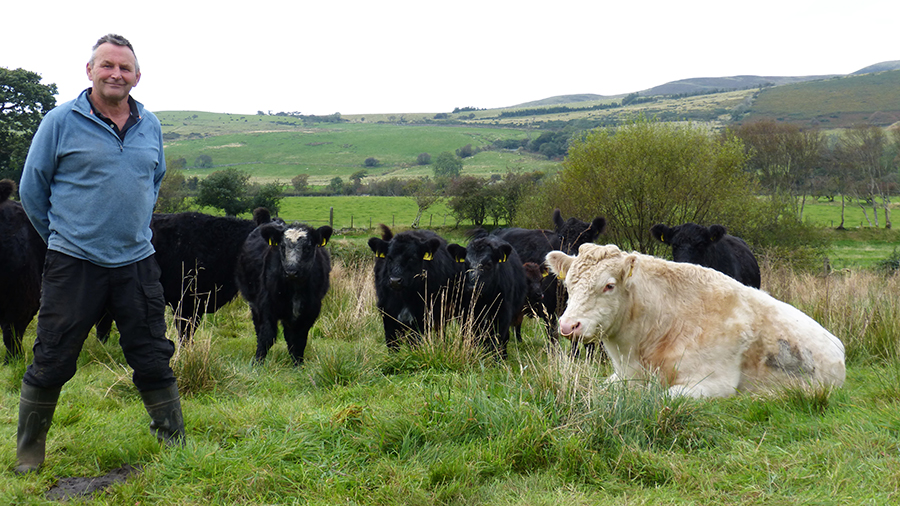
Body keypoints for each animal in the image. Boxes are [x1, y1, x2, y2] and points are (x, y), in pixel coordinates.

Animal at [236, 221, 330, 364]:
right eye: (282, 246)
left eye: (308, 248)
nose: (291, 271)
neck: (296, 288)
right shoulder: (266, 304)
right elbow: (267, 336)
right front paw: (258, 362)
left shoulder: (311, 310)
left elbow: (298, 340)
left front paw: (298, 363)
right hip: (254, 304)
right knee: (259, 328)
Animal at [544, 243, 848, 398]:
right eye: (568, 285)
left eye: (609, 285)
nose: (569, 326)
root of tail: (836, 342)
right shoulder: (621, 376)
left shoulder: (714, 383)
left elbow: (665, 397)